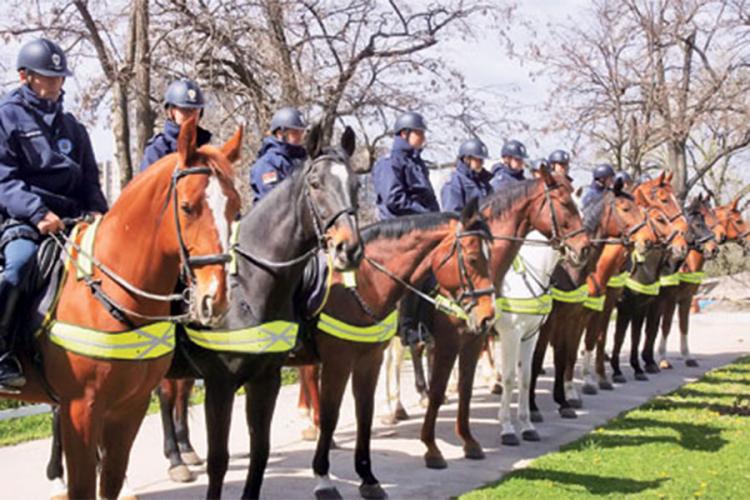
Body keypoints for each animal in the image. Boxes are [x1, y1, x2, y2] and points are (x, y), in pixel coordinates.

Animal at [9, 118, 244, 500]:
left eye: (235, 208)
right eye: (187, 207)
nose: (216, 298)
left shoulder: (129, 408)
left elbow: (111, 481)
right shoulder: (81, 410)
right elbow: (85, 486)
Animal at [296, 199, 496, 500]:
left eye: (490, 255)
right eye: (472, 258)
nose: (487, 317)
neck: (360, 284)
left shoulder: (370, 359)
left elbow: (364, 414)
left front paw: (368, 479)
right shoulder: (339, 362)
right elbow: (334, 415)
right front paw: (324, 480)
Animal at [496, 232, 560, 448]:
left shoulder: (530, 335)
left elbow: (525, 377)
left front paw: (527, 426)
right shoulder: (511, 335)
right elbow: (509, 378)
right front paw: (507, 429)